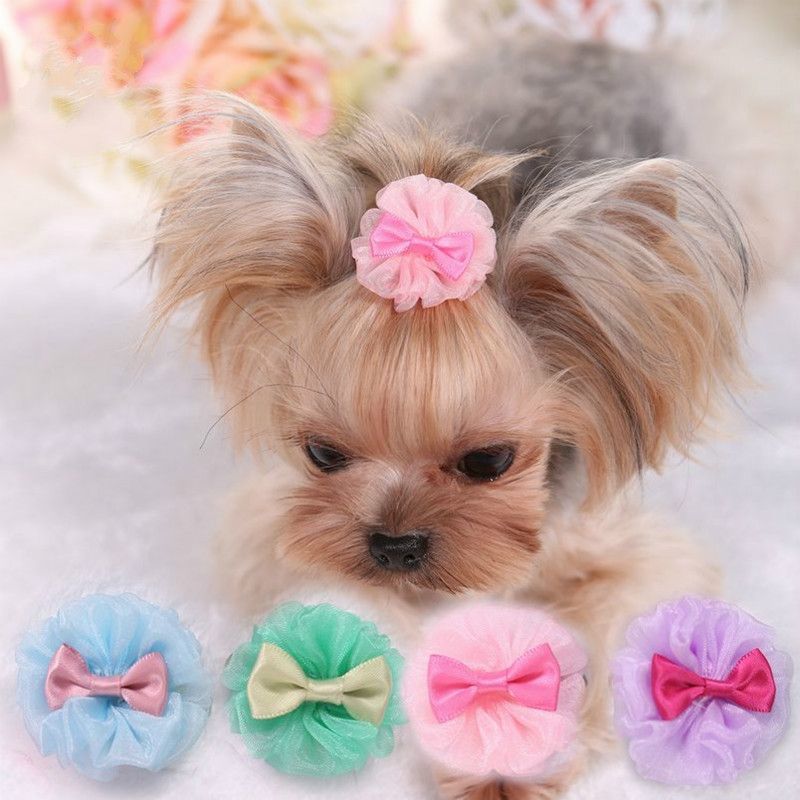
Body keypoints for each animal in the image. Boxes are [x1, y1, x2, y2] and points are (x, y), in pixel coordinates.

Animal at [151, 33, 759, 800]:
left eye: (490, 461)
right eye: (322, 454)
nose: (394, 546)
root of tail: (580, 42)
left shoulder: (629, 550)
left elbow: (618, 616)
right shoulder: (281, 537)